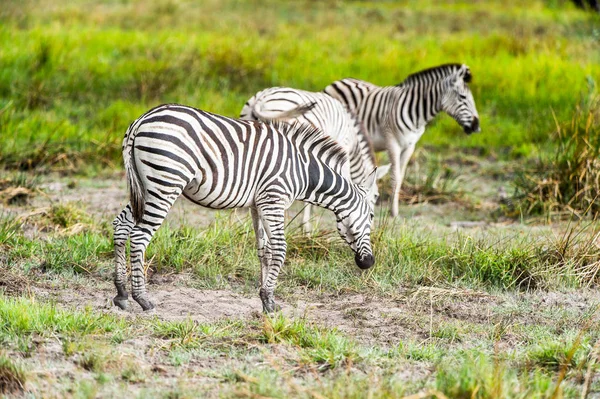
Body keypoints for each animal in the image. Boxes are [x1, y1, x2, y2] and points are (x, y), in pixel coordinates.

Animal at [110, 104, 378, 316]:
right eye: (372, 216)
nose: (369, 263)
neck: (303, 172)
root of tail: (140, 120)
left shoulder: (258, 205)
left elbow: (264, 250)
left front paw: (266, 300)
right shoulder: (274, 199)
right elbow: (280, 249)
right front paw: (269, 299)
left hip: (145, 187)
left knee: (121, 226)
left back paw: (121, 293)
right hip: (165, 184)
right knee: (139, 237)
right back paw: (143, 299)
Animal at [241, 87, 392, 231]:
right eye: (376, 196)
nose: (372, 228)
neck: (353, 138)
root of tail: (260, 99)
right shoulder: (341, 149)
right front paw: (307, 227)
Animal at [326, 63, 480, 217]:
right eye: (462, 97)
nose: (477, 127)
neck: (417, 114)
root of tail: (340, 80)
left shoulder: (410, 146)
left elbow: (400, 177)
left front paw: (394, 209)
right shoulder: (393, 143)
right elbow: (396, 177)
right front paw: (393, 212)